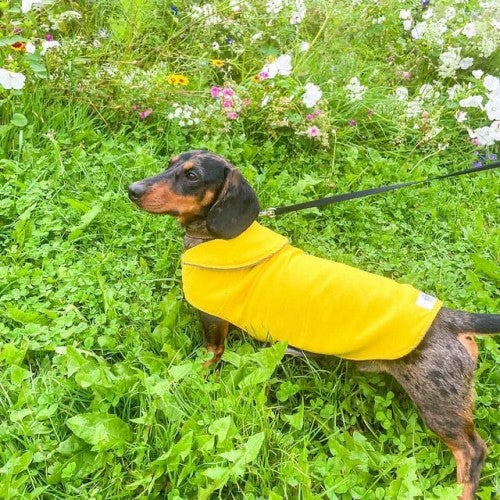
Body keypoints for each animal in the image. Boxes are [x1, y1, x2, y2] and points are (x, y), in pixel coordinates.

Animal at [130, 150, 500, 498]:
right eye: (170, 163)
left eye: (191, 175)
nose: (132, 190)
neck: (218, 239)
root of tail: (445, 317)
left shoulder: (212, 322)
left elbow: (210, 353)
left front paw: (194, 375)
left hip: (438, 403)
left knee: (473, 450)